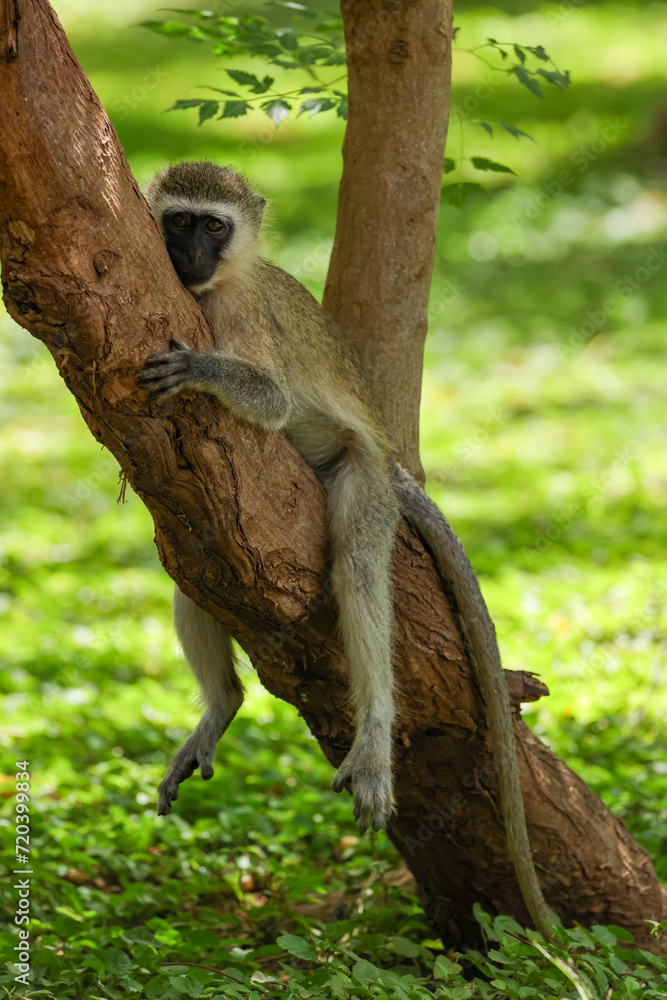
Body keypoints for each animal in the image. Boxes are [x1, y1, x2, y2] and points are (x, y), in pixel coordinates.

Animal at [136, 160, 553, 937]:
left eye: (213, 226)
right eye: (177, 221)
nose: (190, 255)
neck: (216, 287)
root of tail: (389, 460)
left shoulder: (241, 317)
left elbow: (270, 402)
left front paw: (207, 371)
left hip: (361, 478)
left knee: (357, 572)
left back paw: (375, 740)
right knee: (195, 564)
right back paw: (224, 702)